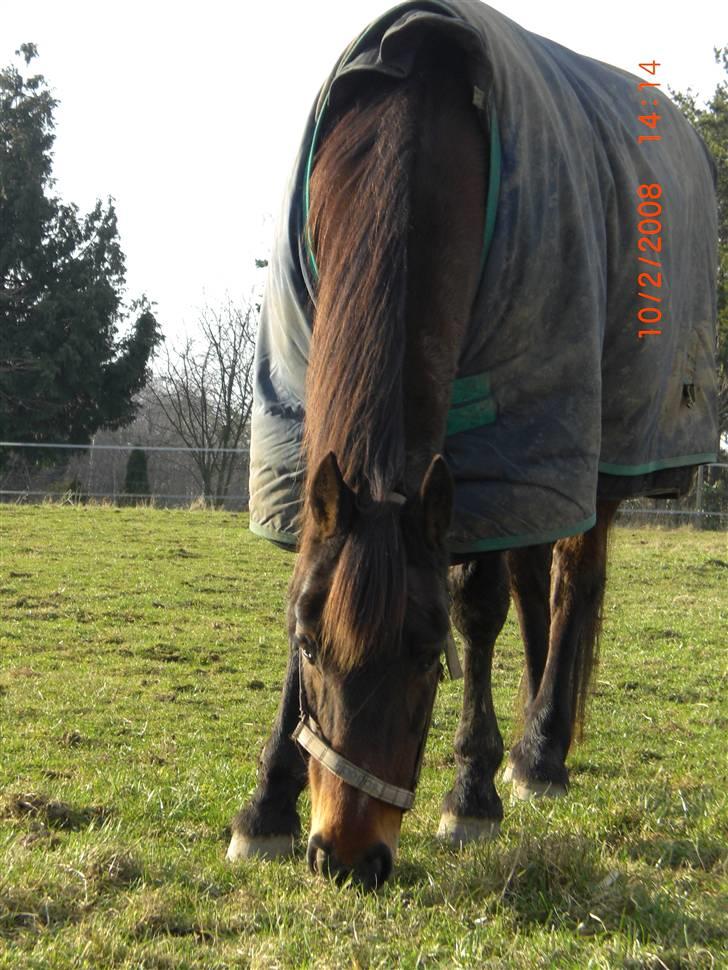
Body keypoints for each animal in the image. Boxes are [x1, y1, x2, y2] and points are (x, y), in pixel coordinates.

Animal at [226, 0, 716, 884]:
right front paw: (267, 804)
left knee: (572, 583)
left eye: (429, 655)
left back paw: (541, 749)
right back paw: (535, 750)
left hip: (589, 456)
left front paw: (471, 793)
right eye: (312, 649)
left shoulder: (506, 442)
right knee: (536, 578)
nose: (347, 857)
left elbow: (478, 606)